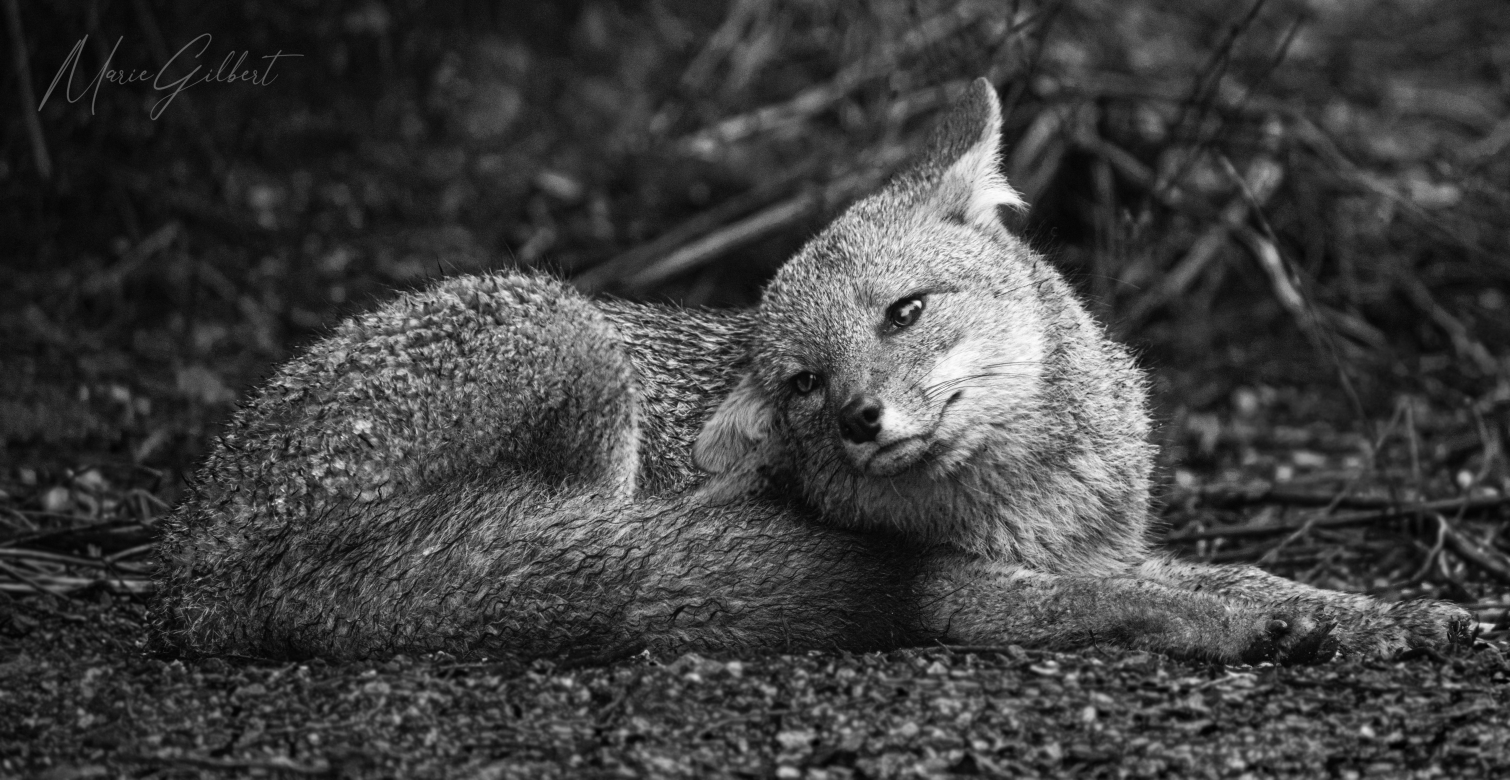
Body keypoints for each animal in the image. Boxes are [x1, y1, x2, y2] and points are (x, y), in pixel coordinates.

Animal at [153, 77, 1473, 663]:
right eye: (800, 381)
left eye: (905, 311)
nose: (857, 419)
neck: (1031, 502)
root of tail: (208, 561)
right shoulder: (964, 587)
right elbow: (1120, 601)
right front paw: (1223, 625)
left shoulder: (1097, 542)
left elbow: (1244, 566)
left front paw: (1382, 610)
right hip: (571, 342)